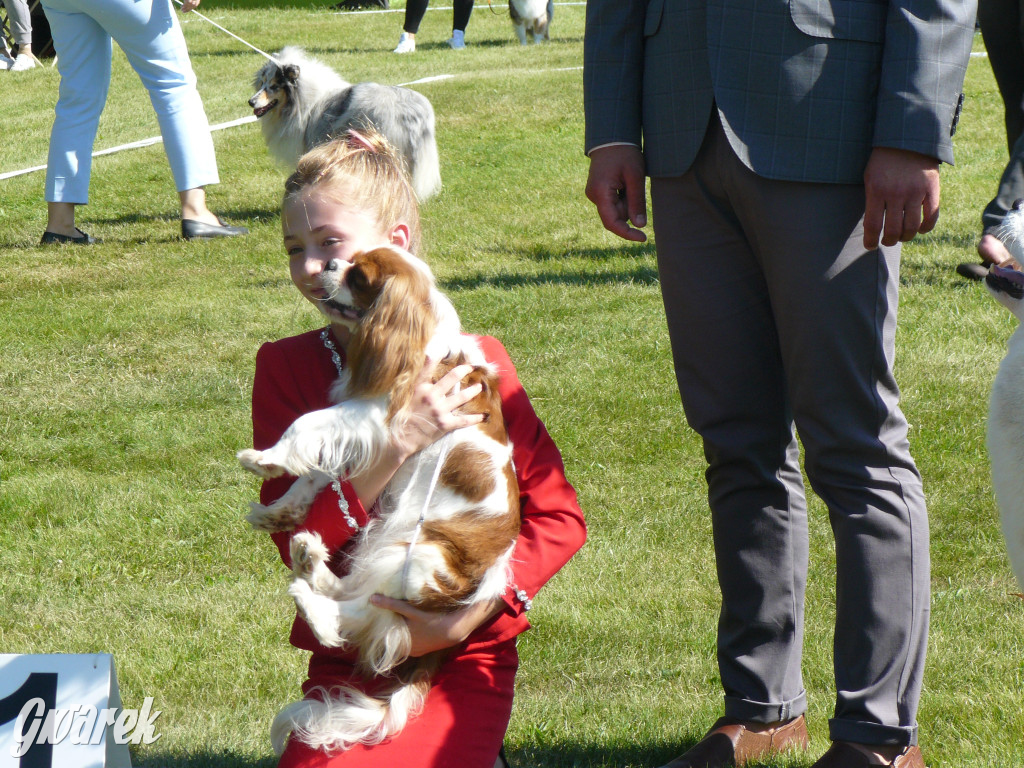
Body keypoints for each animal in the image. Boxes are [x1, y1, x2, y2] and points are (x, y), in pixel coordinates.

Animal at [239, 247, 520, 757]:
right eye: (345, 260)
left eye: (359, 276)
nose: (330, 266)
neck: (422, 337)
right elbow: (318, 474)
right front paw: (280, 510)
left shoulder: (375, 412)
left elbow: (307, 424)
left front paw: (266, 458)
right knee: (353, 593)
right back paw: (308, 560)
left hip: (421, 557)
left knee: (372, 616)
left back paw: (313, 608)